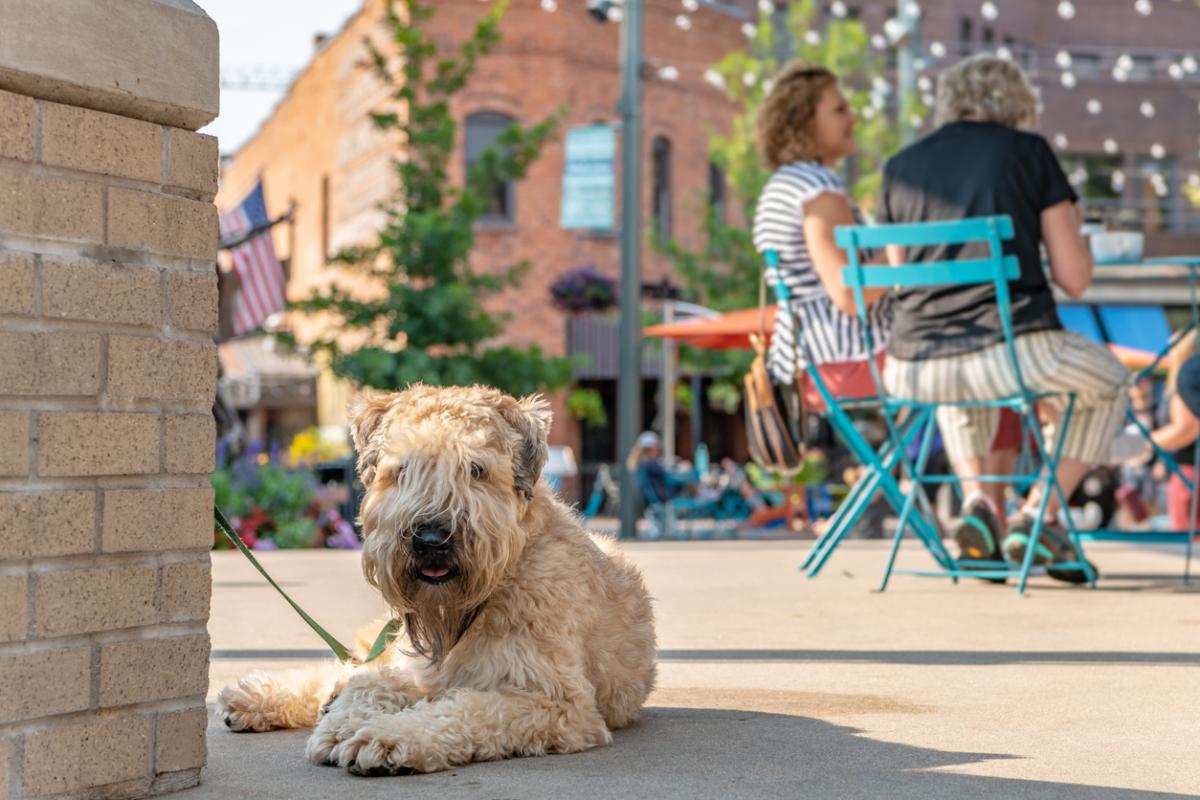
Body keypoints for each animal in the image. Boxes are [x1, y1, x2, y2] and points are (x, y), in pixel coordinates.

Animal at [220, 388, 662, 777]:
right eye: (402, 470)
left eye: (476, 470)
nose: (431, 539)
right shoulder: (415, 669)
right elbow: (372, 683)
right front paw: (342, 722)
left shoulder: (556, 701)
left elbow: (466, 709)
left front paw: (385, 737)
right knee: (353, 666)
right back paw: (257, 697)